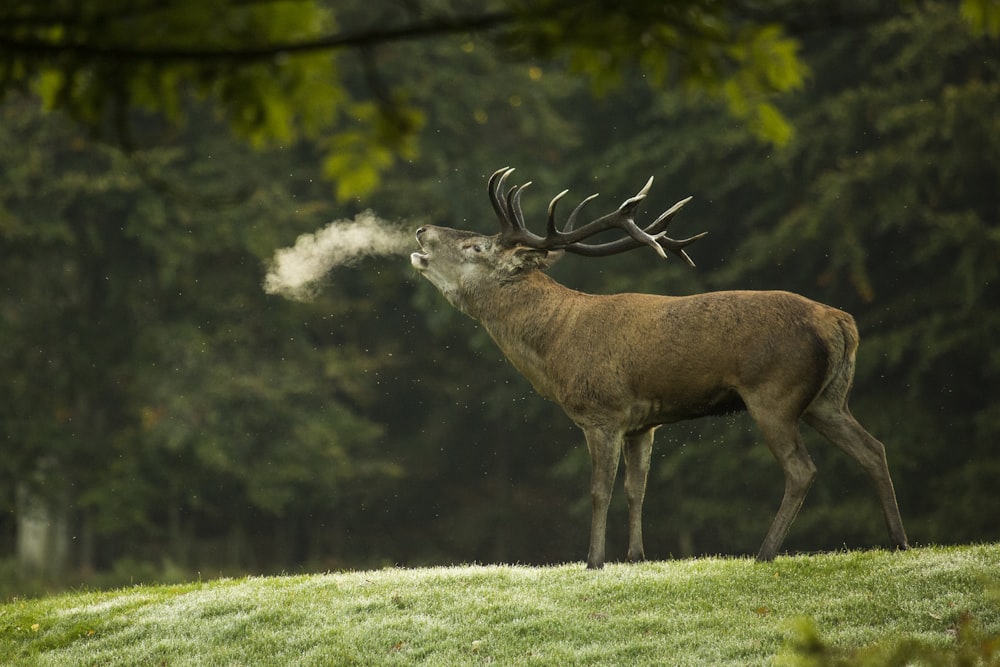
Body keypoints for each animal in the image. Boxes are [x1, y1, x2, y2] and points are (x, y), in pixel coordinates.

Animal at [410, 167, 912, 568]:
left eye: (475, 246)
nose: (421, 231)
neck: (556, 348)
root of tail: (843, 323)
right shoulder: (643, 423)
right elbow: (638, 488)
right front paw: (636, 556)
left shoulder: (603, 412)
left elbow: (600, 490)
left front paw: (594, 561)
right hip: (827, 398)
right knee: (873, 448)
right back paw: (899, 541)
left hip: (775, 392)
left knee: (801, 469)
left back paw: (764, 553)